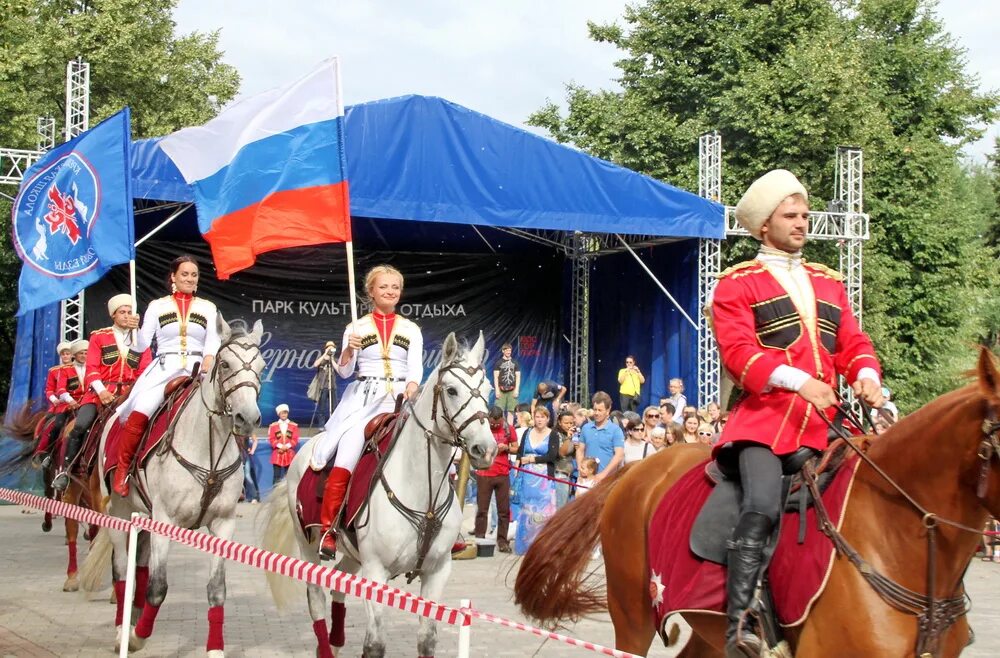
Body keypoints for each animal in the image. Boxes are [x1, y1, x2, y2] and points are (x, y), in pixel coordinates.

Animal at [80, 316, 264, 652]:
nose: (248, 418)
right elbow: (158, 588)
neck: (206, 448)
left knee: (138, 566)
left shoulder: (223, 523)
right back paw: (122, 630)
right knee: (121, 569)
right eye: (226, 364)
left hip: (143, 516)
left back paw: (133, 616)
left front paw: (215, 649)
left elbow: (216, 589)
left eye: (261, 365)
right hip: (118, 513)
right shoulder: (164, 521)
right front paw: (137, 636)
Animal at [260, 334, 498, 656]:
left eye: (488, 390)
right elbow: (374, 645)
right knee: (316, 597)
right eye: (451, 390)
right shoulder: (376, 573)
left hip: (353, 554)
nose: (486, 450)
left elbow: (427, 641)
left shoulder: (437, 573)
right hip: (307, 543)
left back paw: (336, 642)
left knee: (338, 586)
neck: (423, 496)